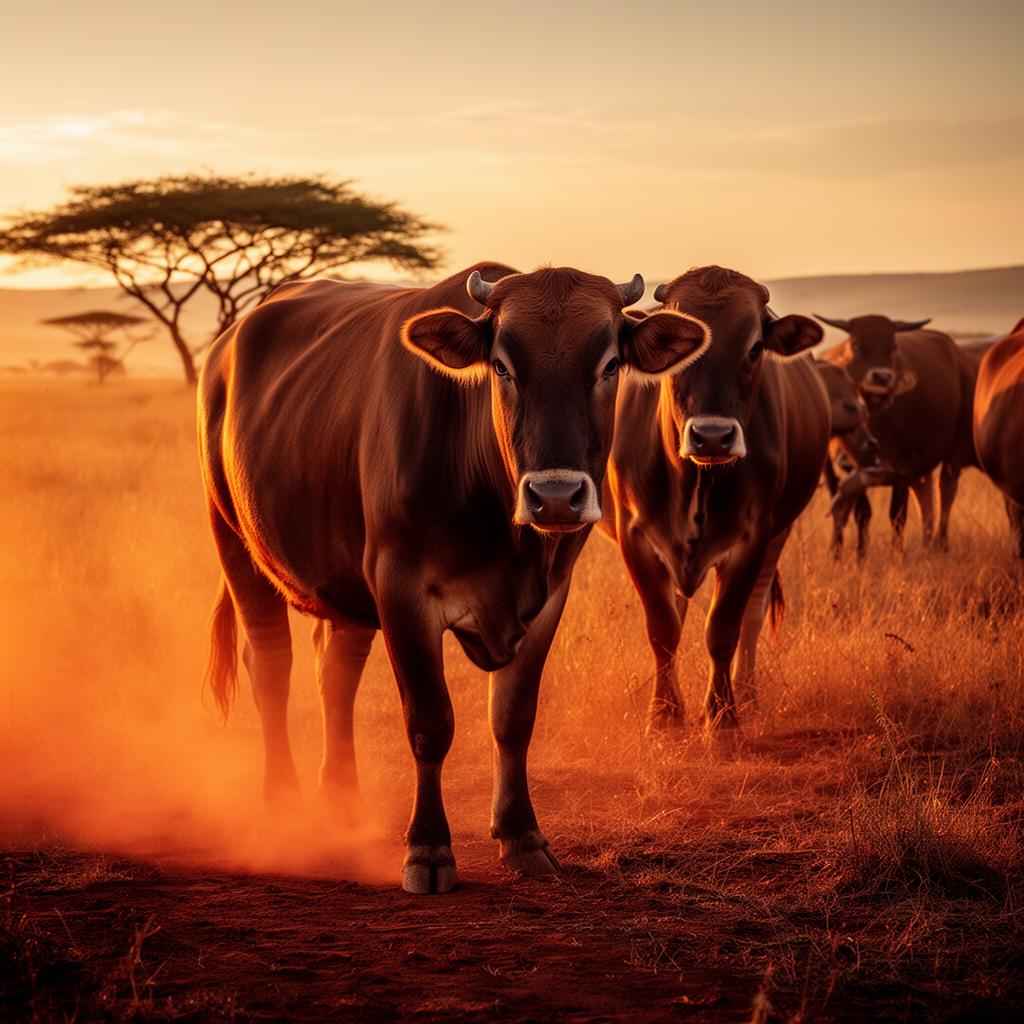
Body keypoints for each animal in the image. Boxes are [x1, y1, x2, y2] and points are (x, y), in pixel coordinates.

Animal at [198, 262, 710, 893]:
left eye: (610, 364)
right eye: (502, 365)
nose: (556, 496)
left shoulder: (548, 598)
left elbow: (513, 719)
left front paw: (522, 837)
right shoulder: (400, 590)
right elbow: (430, 721)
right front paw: (428, 848)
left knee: (334, 674)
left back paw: (343, 803)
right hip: (234, 541)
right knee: (271, 666)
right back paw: (283, 803)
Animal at [602, 267, 829, 731]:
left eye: (755, 348)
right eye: (685, 351)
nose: (712, 436)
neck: (695, 480)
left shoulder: (754, 537)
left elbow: (724, 628)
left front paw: (722, 717)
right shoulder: (634, 537)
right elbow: (663, 629)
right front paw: (665, 715)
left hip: (779, 533)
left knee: (753, 617)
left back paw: (748, 694)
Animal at [816, 315, 978, 551]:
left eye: (892, 346)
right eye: (855, 344)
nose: (881, 377)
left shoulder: (902, 469)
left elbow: (897, 517)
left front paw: (897, 555)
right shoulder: (844, 475)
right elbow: (860, 513)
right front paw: (853, 555)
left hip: (954, 451)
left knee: (946, 490)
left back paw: (940, 544)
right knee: (924, 496)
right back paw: (927, 544)